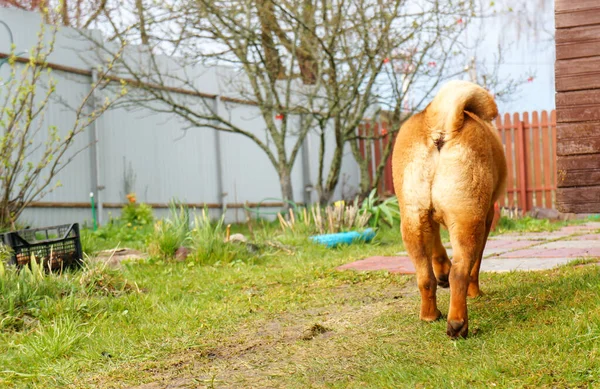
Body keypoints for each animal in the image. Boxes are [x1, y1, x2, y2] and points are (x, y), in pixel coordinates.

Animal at [390, 80, 506, 338]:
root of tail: (440, 123)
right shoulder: (485, 220)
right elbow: (475, 266)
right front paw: (475, 292)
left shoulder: (426, 219)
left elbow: (436, 248)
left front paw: (441, 269)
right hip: (468, 223)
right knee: (461, 272)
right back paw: (458, 323)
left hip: (413, 222)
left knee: (425, 277)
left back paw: (430, 315)